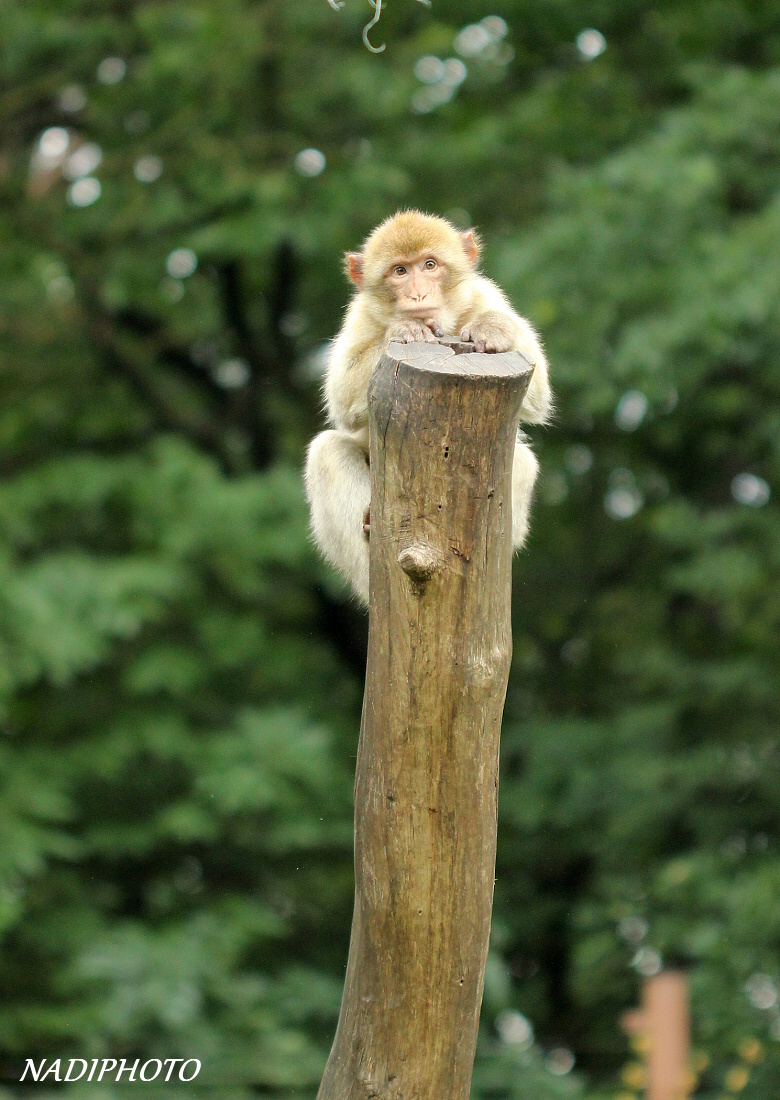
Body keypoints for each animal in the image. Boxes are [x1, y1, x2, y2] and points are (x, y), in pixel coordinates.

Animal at [301, 206, 550, 602]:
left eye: (430, 265)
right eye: (400, 271)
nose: (418, 294)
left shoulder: (484, 294)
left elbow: (539, 389)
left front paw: (493, 328)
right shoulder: (360, 315)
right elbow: (340, 395)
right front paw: (405, 331)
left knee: (520, 459)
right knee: (328, 451)